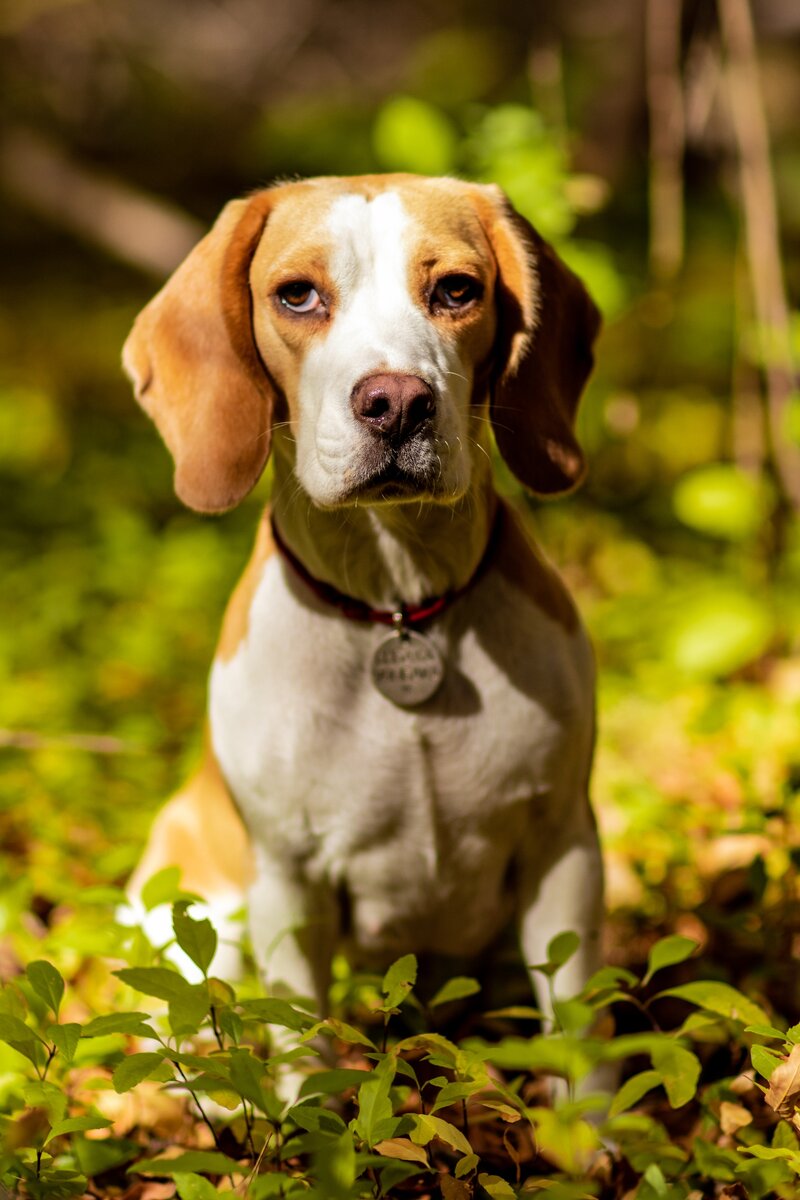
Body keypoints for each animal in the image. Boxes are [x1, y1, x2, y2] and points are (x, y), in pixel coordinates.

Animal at [122, 174, 604, 1036]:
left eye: (457, 290)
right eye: (298, 295)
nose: (398, 402)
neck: (396, 605)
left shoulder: (564, 851)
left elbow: (580, 1042)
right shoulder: (288, 883)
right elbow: (299, 1041)